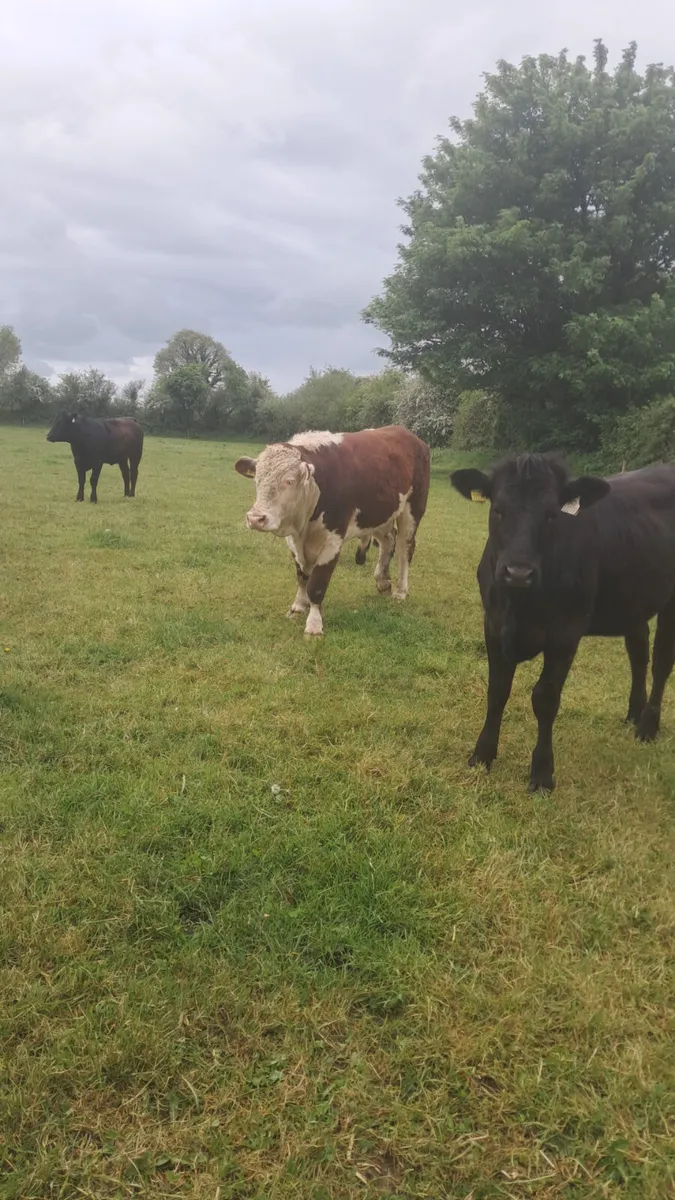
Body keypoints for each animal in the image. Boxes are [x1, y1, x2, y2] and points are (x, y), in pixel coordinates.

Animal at [235, 426, 430, 636]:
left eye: (289, 481)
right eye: (257, 480)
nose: (256, 518)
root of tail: (406, 432)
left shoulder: (332, 540)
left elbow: (316, 584)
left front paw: (314, 625)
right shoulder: (294, 541)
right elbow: (302, 577)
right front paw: (298, 607)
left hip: (412, 510)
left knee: (404, 549)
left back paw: (401, 591)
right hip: (379, 514)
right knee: (388, 541)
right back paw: (382, 581)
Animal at [450, 453, 675, 792]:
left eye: (551, 514)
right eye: (498, 509)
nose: (518, 572)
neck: (519, 604)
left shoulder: (565, 634)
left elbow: (545, 698)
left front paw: (542, 773)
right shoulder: (493, 625)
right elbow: (497, 690)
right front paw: (482, 755)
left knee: (661, 661)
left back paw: (648, 726)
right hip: (632, 597)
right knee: (639, 653)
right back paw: (633, 714)